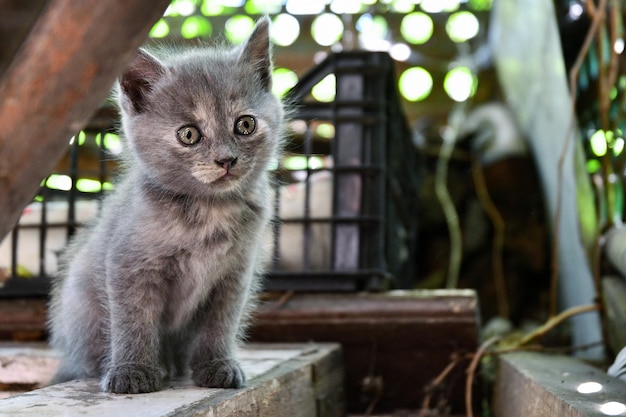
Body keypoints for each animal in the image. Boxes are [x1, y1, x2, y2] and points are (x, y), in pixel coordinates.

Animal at [47, 17, 282, 394]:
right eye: (188, 134)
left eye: (245, 124)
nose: (226, 160)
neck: (209, 209)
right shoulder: (129, 264)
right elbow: (134, 319)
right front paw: (132, 371)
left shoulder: (235, 274)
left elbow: (221, 322)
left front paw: (217, 365)